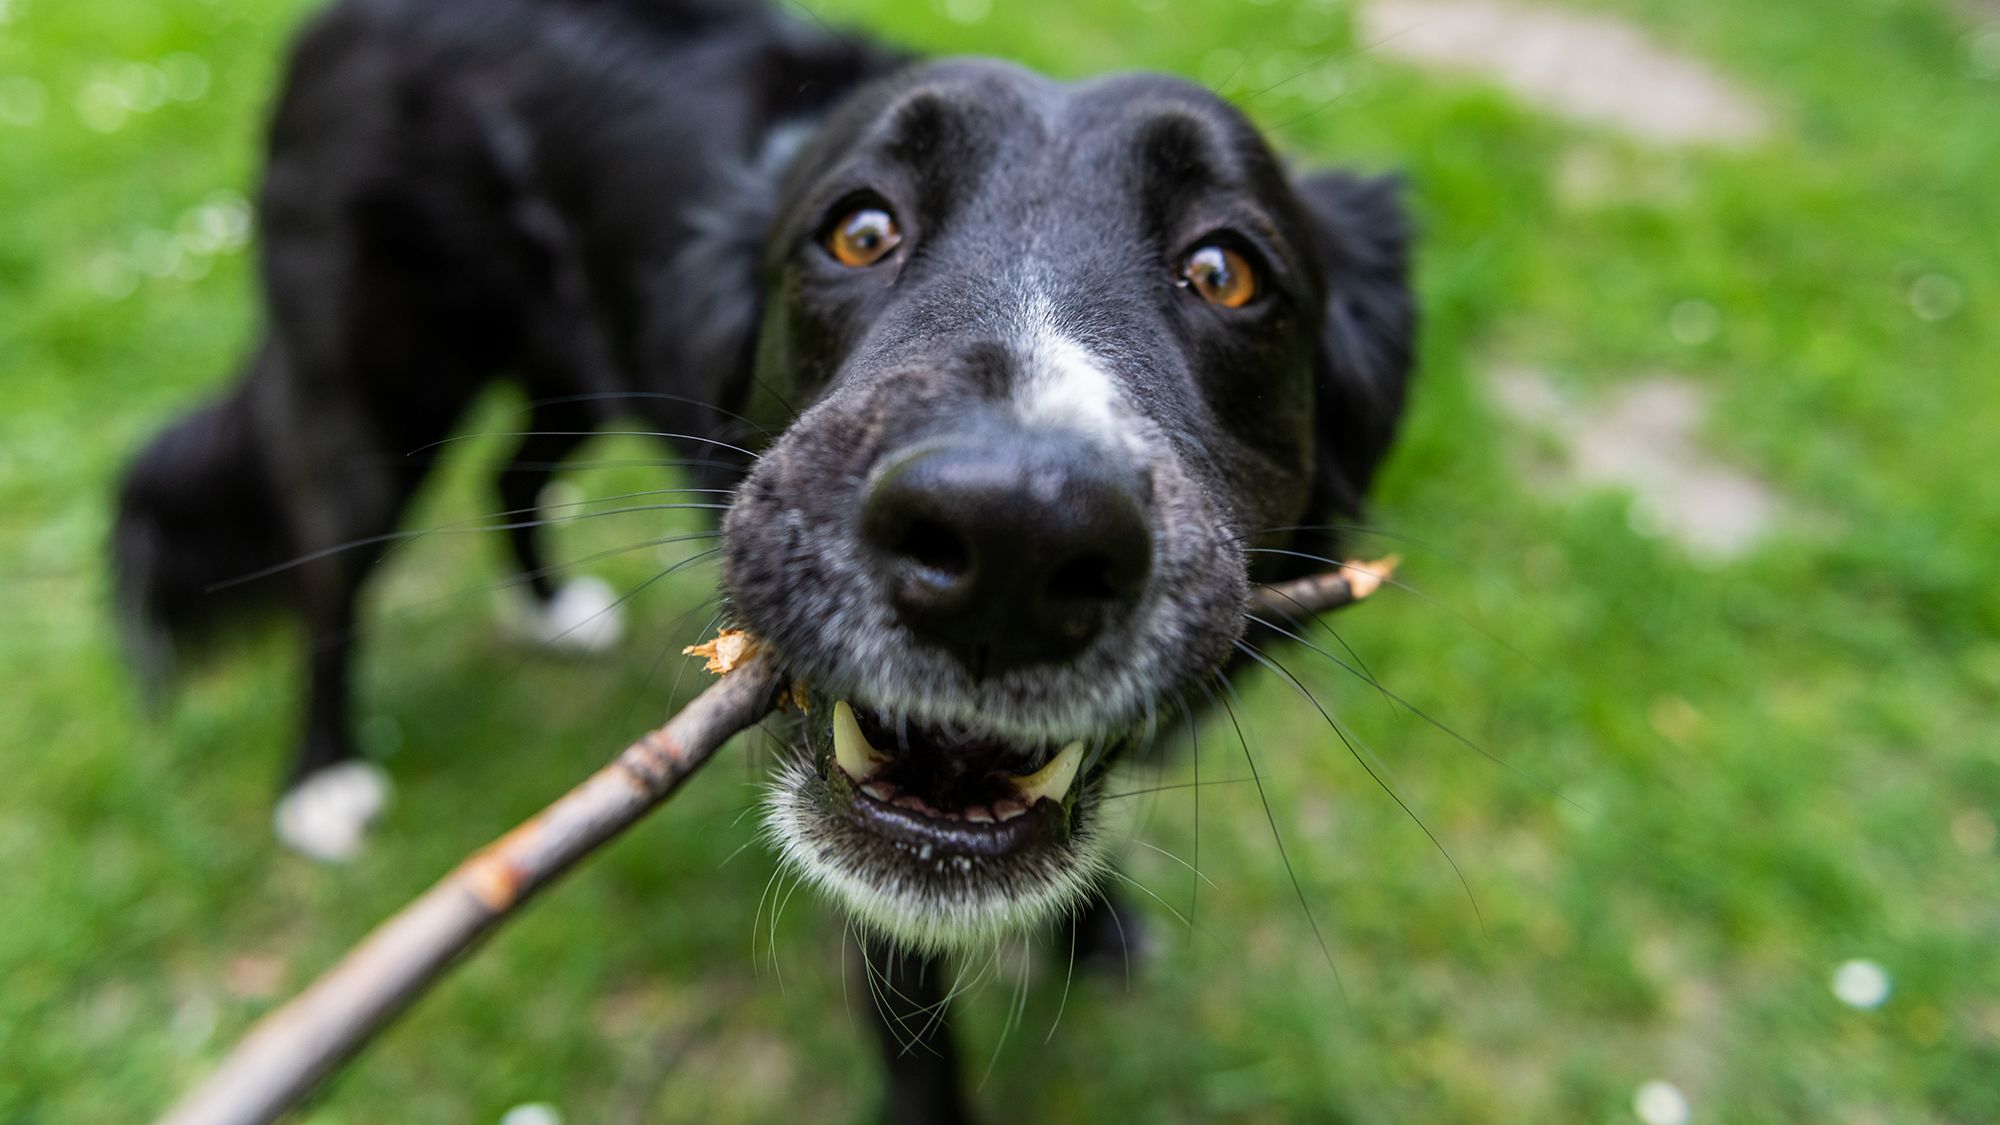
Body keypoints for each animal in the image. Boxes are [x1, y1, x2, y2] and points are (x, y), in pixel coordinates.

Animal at [113, 0, 1408, 1112]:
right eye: (859, 229)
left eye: (1225, 271)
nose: (1009, 535)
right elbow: (916, 1040)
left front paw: (1089, 931)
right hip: (374, 395)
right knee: (328, 581)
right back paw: (323, 782)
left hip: (580, 364)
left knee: (509, 475)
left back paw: (552, 611)